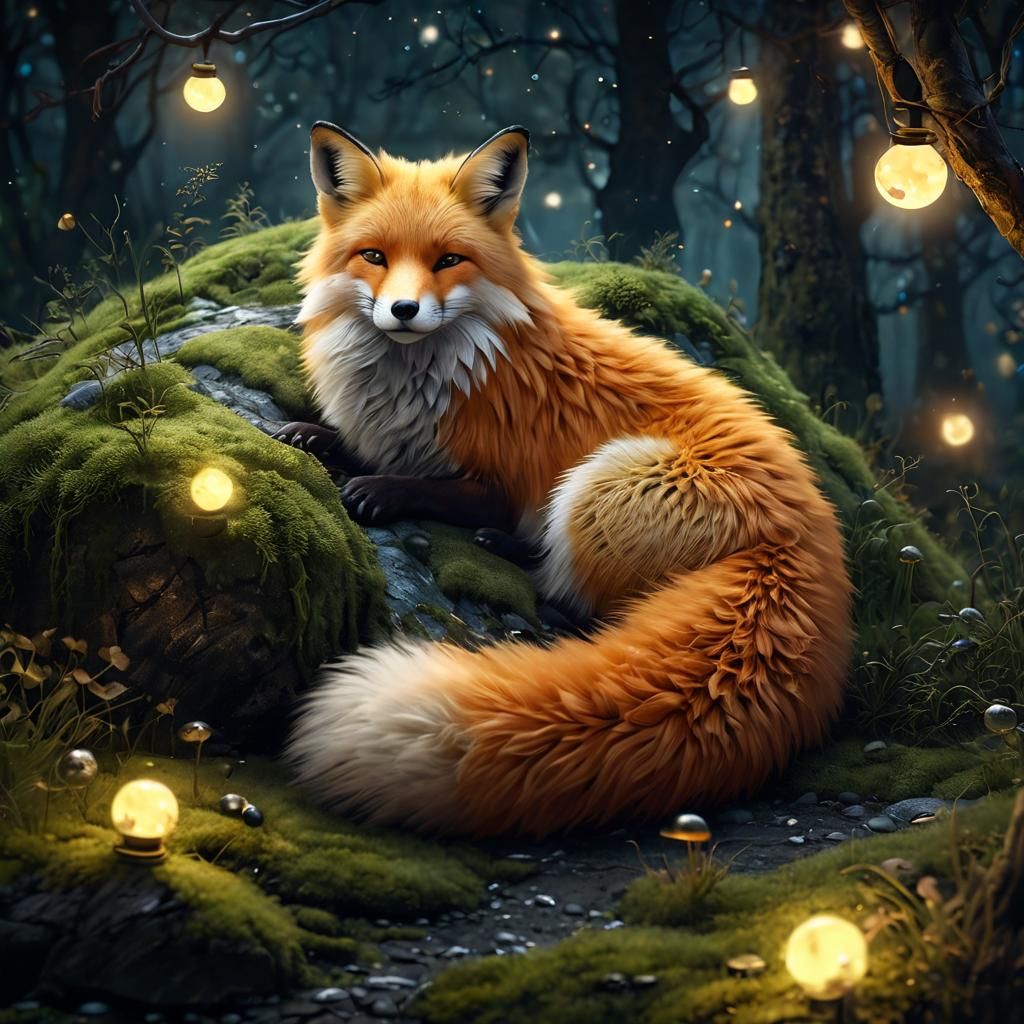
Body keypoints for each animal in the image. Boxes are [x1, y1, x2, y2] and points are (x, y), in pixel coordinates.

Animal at [283, 121, 853, 837]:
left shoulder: (501, 478)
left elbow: (440, 485)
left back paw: (514, 554)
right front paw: (316, 436)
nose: (404, 310)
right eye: (374, 256)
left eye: (448, 261)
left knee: (573, 597)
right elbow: (356, 443)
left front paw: (380, 488)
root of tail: (806, 540)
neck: (436, 376)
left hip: (598, 484)